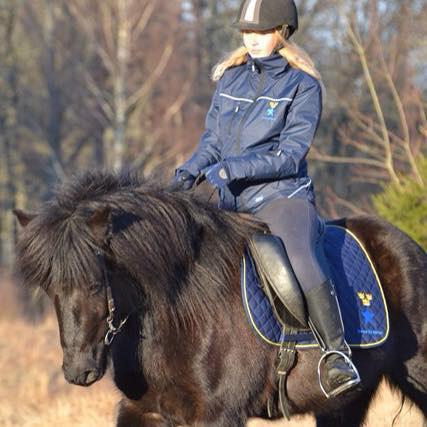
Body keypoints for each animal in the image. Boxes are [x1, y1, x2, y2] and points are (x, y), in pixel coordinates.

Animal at [14, 172, 427, 426]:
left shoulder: (218, 414)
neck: (181, 311)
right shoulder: (142, 411)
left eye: (96, 284)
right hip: (344, 403)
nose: (78, 371)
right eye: (51, 289)